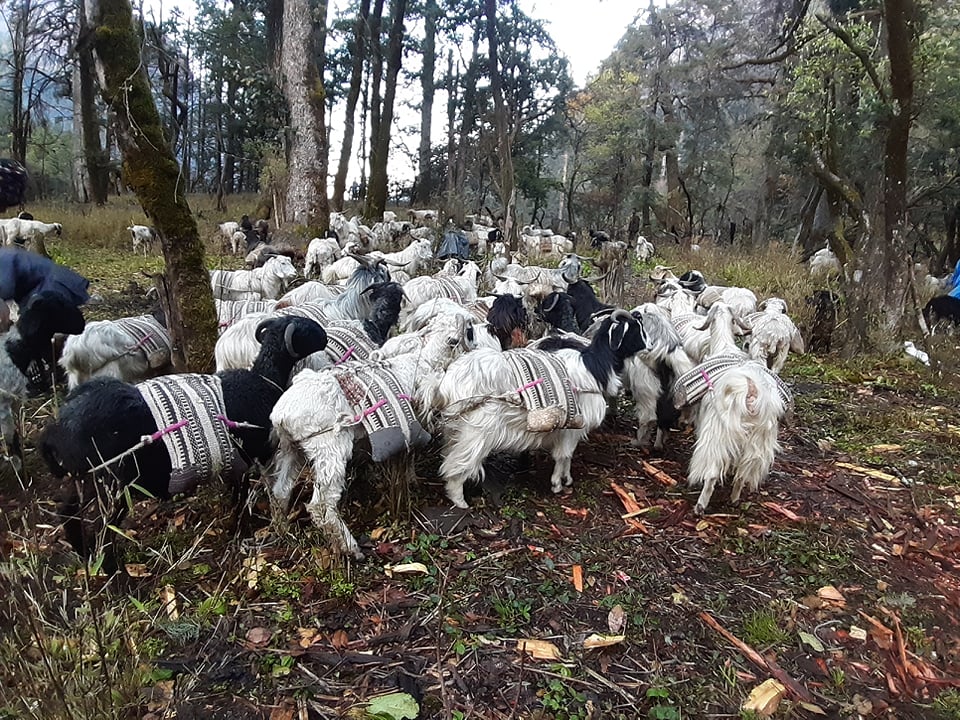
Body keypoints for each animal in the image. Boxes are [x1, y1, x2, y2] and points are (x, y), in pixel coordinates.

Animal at [42, 316, 330, 568]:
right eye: (306, 330)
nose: (326, 336)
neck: (262, 379)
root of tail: (56, 428)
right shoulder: (249, 456)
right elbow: (245, 493)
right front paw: (243, 527)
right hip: (110, 484)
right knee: (104, 528)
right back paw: (114, 570)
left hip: (83, 479)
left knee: (67, 513)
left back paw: (84, 553)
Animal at [268, 314, 478, 556]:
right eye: (461, 336)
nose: (466, 320)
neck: (425, 359)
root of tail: (282, 415)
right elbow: (410, 455)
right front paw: (412, 478)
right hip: (328, 447)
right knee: (321, 505)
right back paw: (350, 547)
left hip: (290, 448)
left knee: (281, 489)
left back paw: (282, 528)